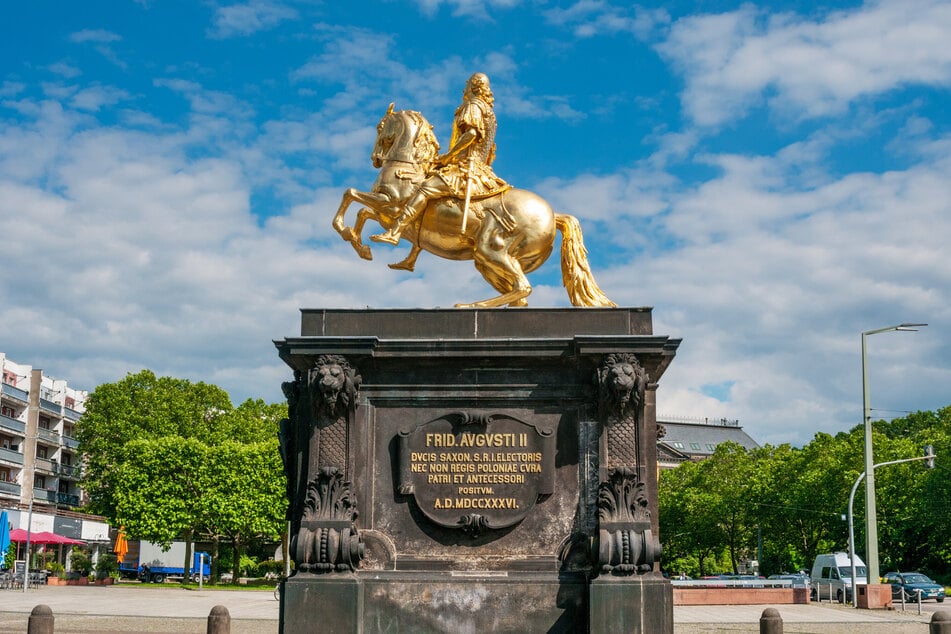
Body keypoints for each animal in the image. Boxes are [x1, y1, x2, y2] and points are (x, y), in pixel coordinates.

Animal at [332, 105, 616, 308]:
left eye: (380, 127)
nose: (375, 159)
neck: (407, 166)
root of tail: (553, 214)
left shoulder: (391, 207)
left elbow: (352, 196)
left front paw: (359, 235)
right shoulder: (386, 213)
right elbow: (361, 209)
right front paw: (359, 244)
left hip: (492, 249)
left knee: (522, 287)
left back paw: (471, 305)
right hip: (489, 260)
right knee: (520, 296)